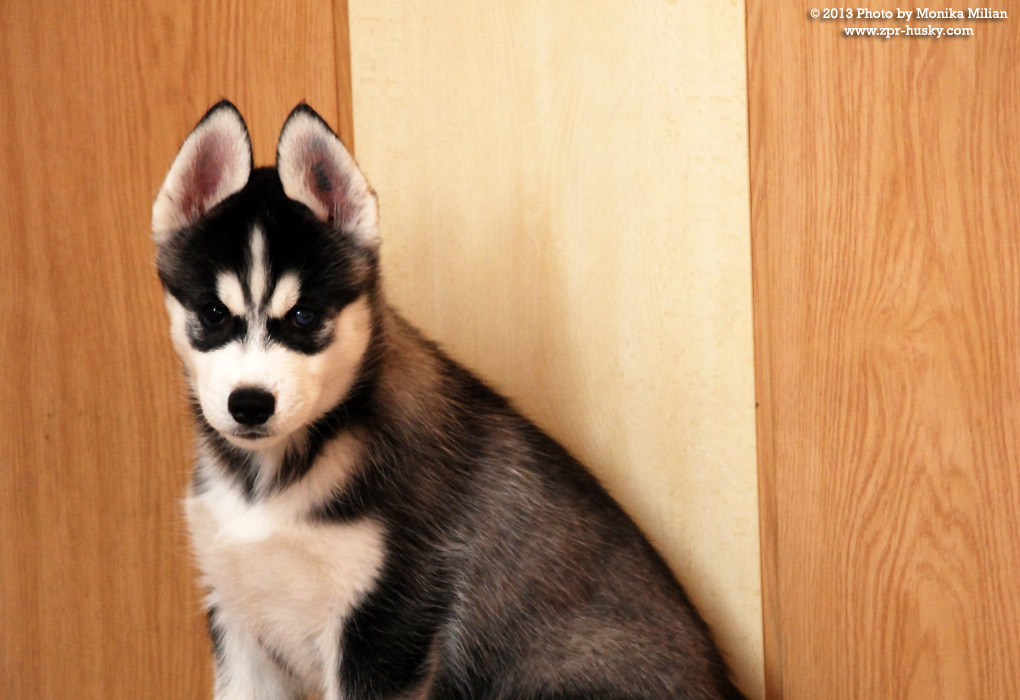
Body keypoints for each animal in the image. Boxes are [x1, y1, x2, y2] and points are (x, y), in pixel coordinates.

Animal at [153, 101, 747, 700]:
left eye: (303, 316)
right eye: (212, 314)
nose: (250, 404)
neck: (275, 479)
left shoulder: (385, 625)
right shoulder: (236, 618)